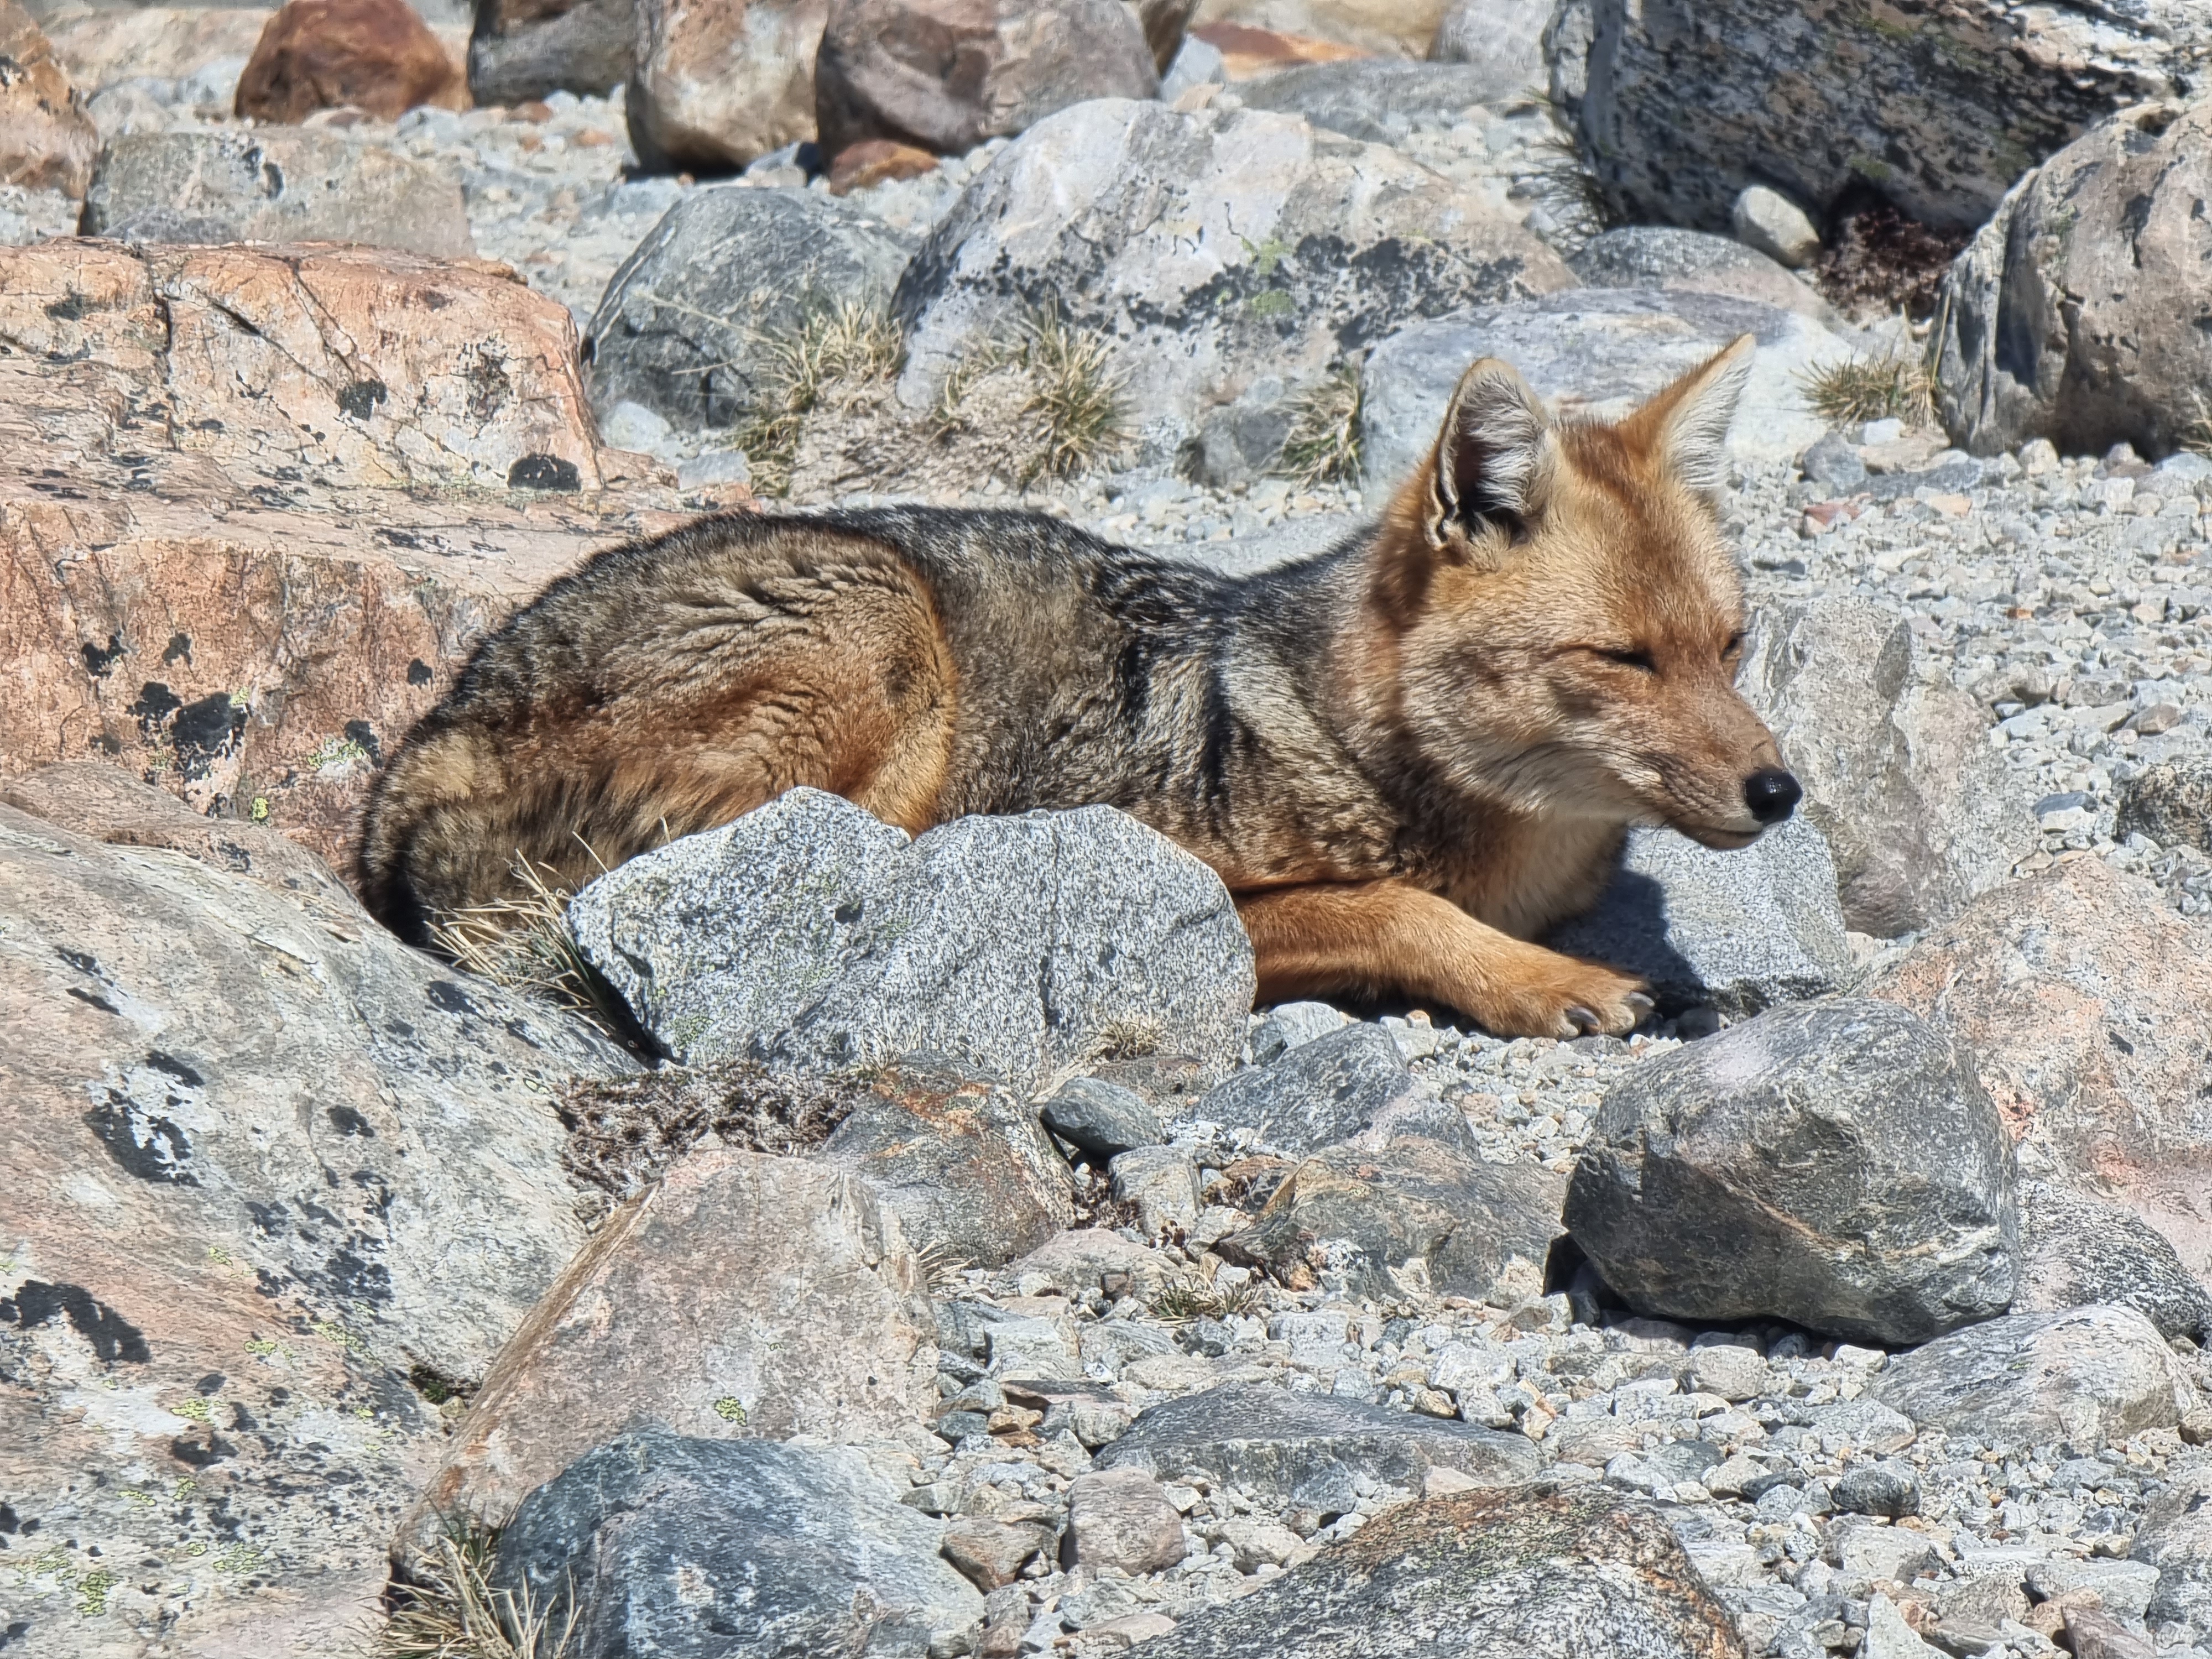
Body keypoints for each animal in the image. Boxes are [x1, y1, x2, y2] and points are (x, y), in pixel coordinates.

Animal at [358, 336, 1796, 1040]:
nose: (1780, 792)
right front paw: (1542, 980)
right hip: (888, 625)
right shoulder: (1197, 884)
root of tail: (422, 750)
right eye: (1621, 659)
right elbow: (1391, 906)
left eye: (1729, 645)